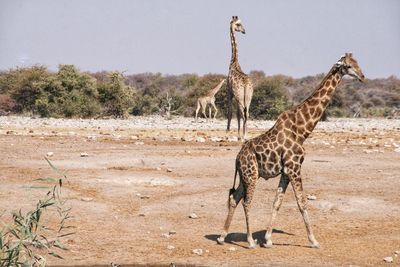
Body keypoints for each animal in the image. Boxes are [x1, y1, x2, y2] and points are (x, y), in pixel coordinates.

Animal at [217, 53, 364, 250]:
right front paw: (313, 241)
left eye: (357, 63)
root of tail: (237, 158)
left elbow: (277, 202)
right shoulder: (294, 167)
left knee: (235, 198)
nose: (362, 76)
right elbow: (302, 203)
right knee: (247, 202)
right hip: (251, 175)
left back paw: (222, 236)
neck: (303, 130)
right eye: (348, 66)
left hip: (246, 176)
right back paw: (249, 241)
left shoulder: (286, 171)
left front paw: (268, 239)